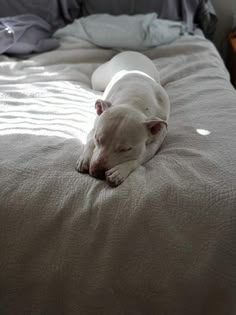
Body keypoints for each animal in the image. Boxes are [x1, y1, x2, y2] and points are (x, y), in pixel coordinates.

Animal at [76, 51, 171, 188]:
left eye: (126, 149)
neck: (134, 101)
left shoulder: (155, 144)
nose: (97, 172)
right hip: (98, 80)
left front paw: (120, 171)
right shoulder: (94, 127)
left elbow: (139, 158)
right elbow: (89, 142)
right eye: (97, 139)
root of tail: (128, 52)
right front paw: (85, 158)